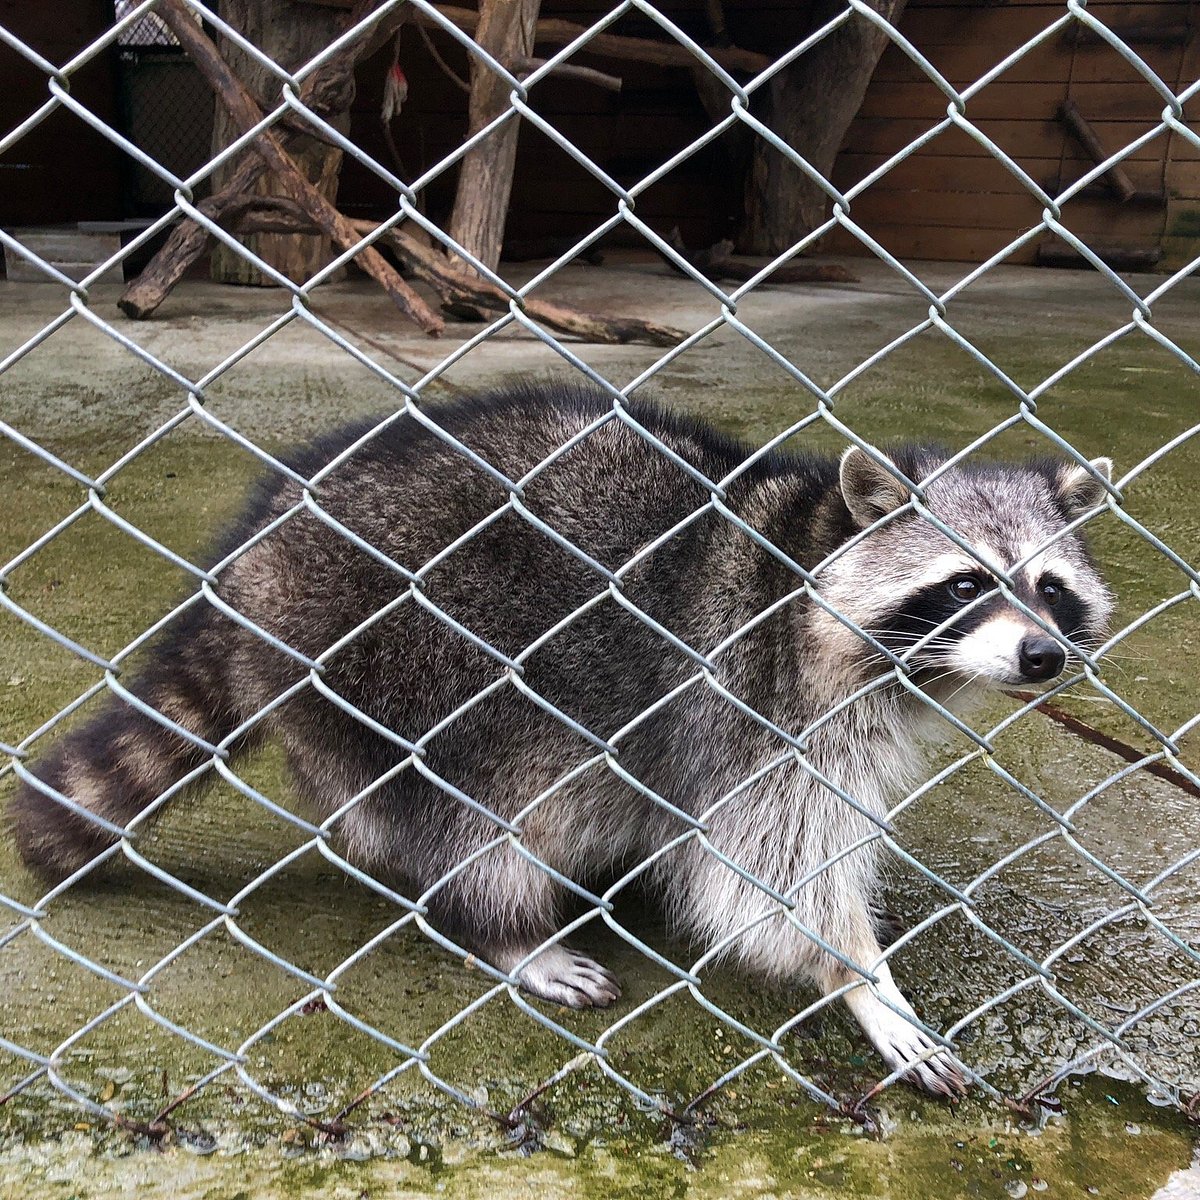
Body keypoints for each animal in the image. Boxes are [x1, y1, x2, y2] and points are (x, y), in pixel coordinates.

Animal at [9, 381, 1113, 1099]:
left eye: (1050, 588)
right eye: (966, 584)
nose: (1043, 656)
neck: (810, 553)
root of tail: (249, 558)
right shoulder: (757, 703)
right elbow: (775, 874)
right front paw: (863, 982)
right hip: (399, 657)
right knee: (474, 808)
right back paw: (502, 925)